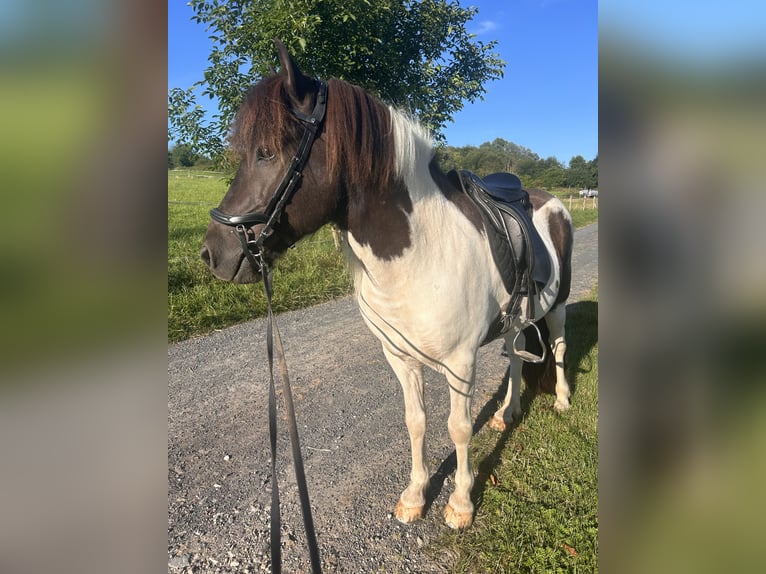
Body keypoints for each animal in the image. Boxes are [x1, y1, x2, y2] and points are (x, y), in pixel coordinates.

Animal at [201, 40, 572, 532]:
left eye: (265, 152)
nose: (213, 254)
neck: (421, 254)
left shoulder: (460, 361)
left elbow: (458, 427)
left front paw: (460, 504)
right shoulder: (399, 357)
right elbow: (415, 421)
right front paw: (415, 496)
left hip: (558, 306)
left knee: (561, 347)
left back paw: (563, 401)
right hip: (517, 319)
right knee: (515, 357)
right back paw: (507, 414)